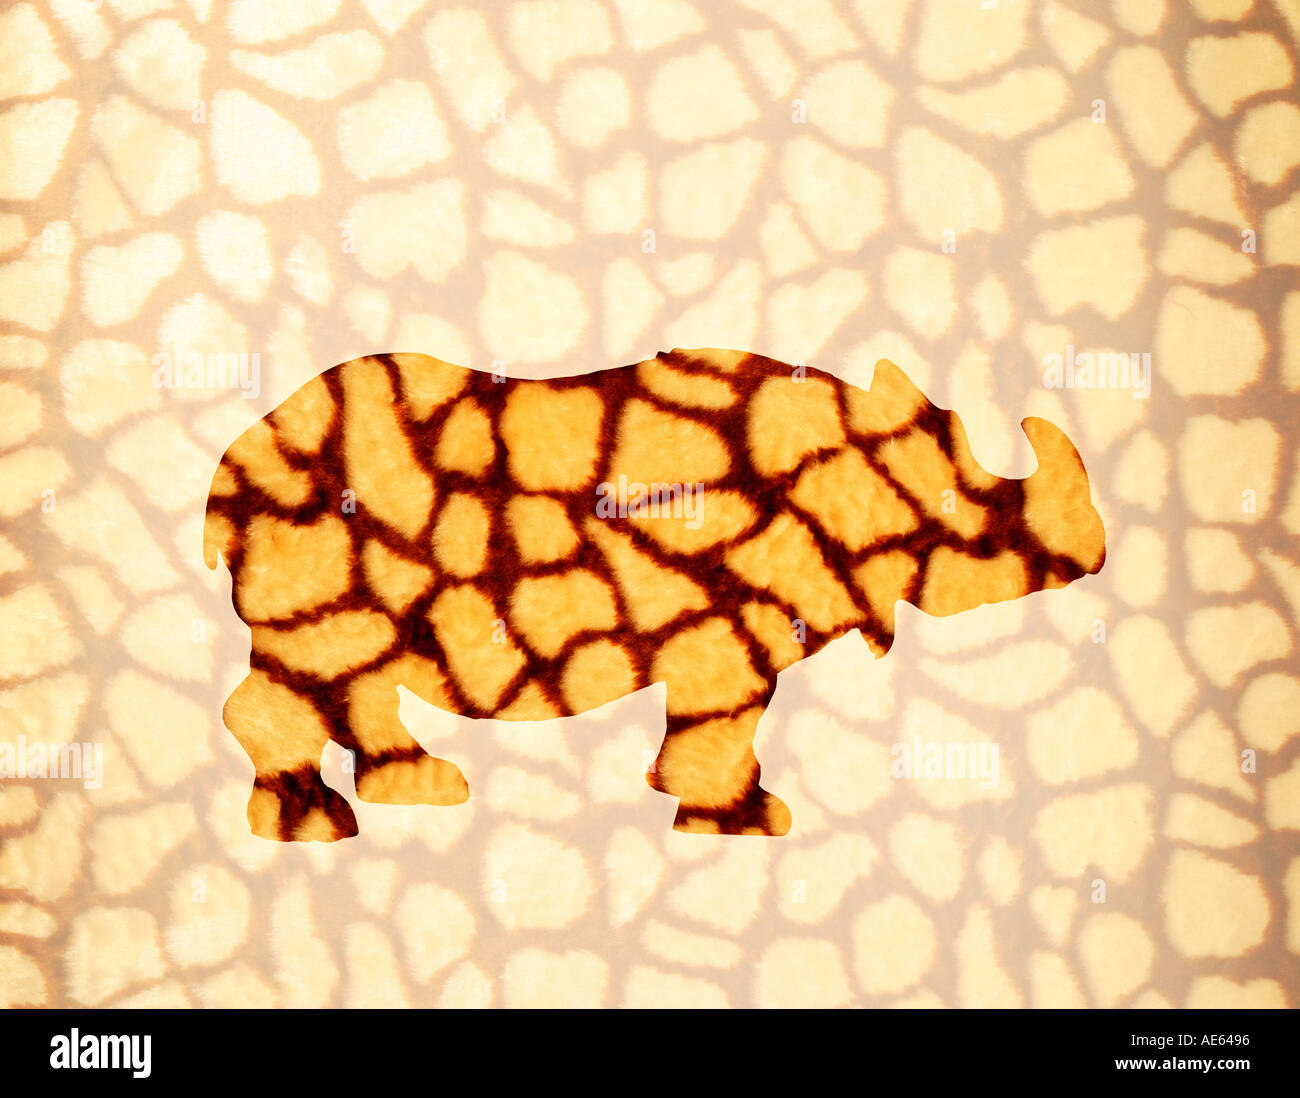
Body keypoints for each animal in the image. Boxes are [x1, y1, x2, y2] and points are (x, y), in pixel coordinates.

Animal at [203, 348, 1105, 841]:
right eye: (964, 521)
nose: (1095, 551)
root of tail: (232, 464)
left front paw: (710, 807)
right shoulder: (726, 622)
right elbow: (723, 723)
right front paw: (746, 822)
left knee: (352, 669)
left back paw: (419, 787)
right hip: (312, 527)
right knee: (309, 665)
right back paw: (311, 826)